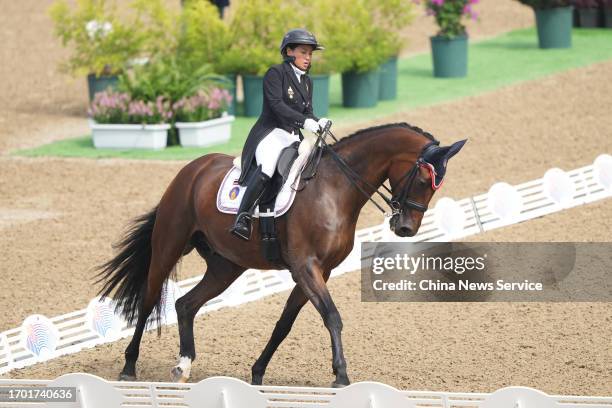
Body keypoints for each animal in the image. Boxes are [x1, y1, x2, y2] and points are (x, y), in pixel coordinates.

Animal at [98, 121, 466, 386]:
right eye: (423, 180)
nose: (406, 228)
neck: (334, 187)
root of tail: (192, 169)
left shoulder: (318, 271)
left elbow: (284, 324)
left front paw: (258, 373)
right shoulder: (305, 267)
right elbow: (332, 316)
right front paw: (341, 376)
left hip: (226, 266)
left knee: (185, 304)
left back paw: (183, 365)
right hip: (169, 246)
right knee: (149, 299)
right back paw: (129, 366)